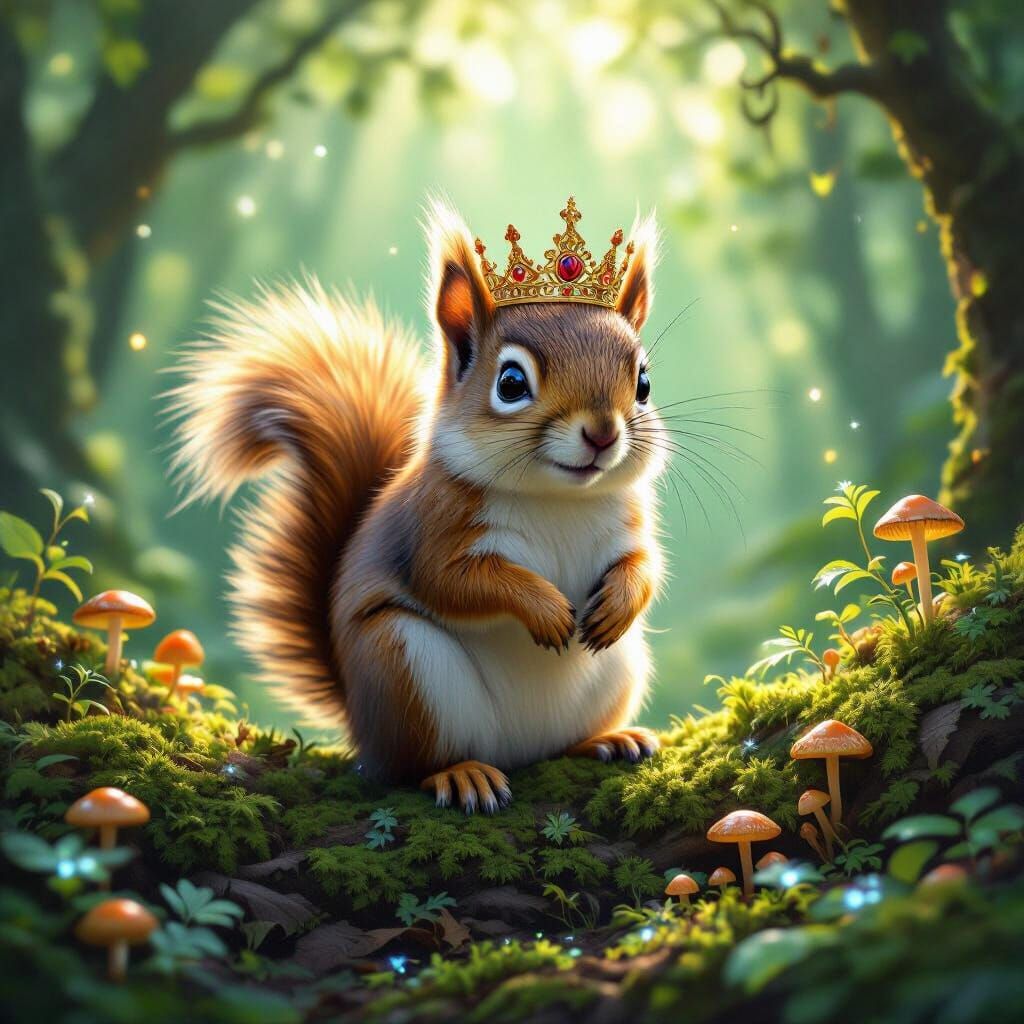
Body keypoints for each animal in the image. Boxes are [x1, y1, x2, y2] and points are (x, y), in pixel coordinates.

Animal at [167, 199, 667, 813]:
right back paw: (461, 774)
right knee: (411, 767)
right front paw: (546, 609)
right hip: (403, 667)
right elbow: (454, 581)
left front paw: (621, 601)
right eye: (510, 382)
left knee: (566, 740)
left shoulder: (630, 521)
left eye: (643, 383)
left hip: (619, 669)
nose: (602, 433)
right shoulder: (431, 526)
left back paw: (608, 740)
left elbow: (644, 564)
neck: (557, 498)